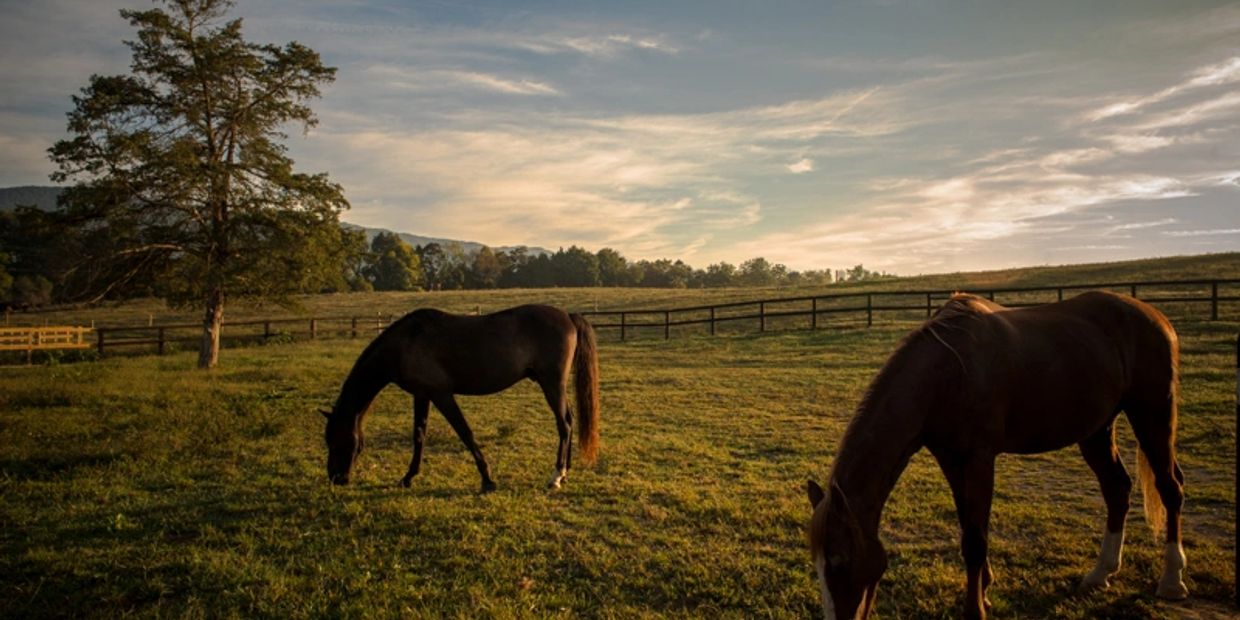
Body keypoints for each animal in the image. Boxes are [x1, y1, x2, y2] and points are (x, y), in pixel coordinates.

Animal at [322, 304, 599, 493]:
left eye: (337, 441)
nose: (336, 478)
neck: (405, 343)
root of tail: (568, 316)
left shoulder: (442, 395)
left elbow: (465, 433)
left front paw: (487, 480)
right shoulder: (422, 395)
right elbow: (419, 435)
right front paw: (408, 477)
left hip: (551, 384)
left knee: (564, 425)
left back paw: (556, 476)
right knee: (569, 421)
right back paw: (565, 472)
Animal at [806, 291, 1186, 620]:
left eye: (839, 561)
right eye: (818, 564)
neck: (948, 371)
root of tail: (1156, 317)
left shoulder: (979, 458)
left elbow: (975, 539)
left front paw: (975, 609)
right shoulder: (950, 459)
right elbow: (969, 525)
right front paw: (985, 590)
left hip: (1152, 414)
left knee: (1170, 488)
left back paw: (1172, 580)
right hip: (1096, 430)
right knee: (1117, 490)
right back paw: (1101, 572)